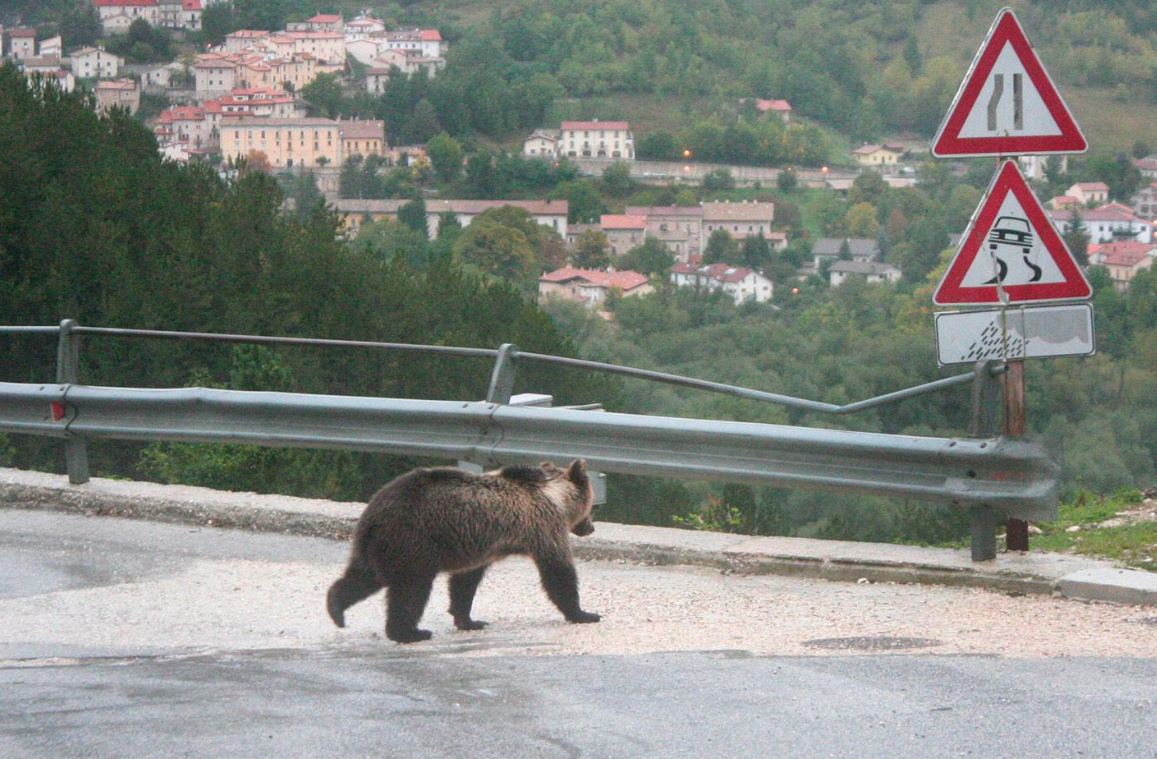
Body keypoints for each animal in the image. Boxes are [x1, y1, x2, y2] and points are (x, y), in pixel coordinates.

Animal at [323, 460, 597, 643]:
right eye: (592, 507)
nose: (591, 527)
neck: (555, 497)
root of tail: (374, 512)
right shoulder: (544, 526)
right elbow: (557, 572)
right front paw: (584, 613)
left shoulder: (480, 546)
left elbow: (465, 582)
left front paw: (469, 620)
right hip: (414, 541)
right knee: (411, 589)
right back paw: (410, 632)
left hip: (377, 545)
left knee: (363, 577)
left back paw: (336, 608)